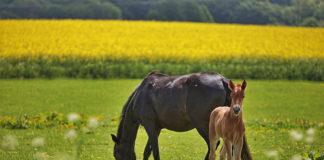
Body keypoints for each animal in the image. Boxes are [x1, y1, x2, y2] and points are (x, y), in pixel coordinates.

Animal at [111, 71, 253, 160]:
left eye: (116, 154)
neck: (140, 94)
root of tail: (222, 80)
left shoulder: (149, 125)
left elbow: (155, 151)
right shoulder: (156, 128)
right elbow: (148, 151)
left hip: (203, 126)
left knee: (213, 146)